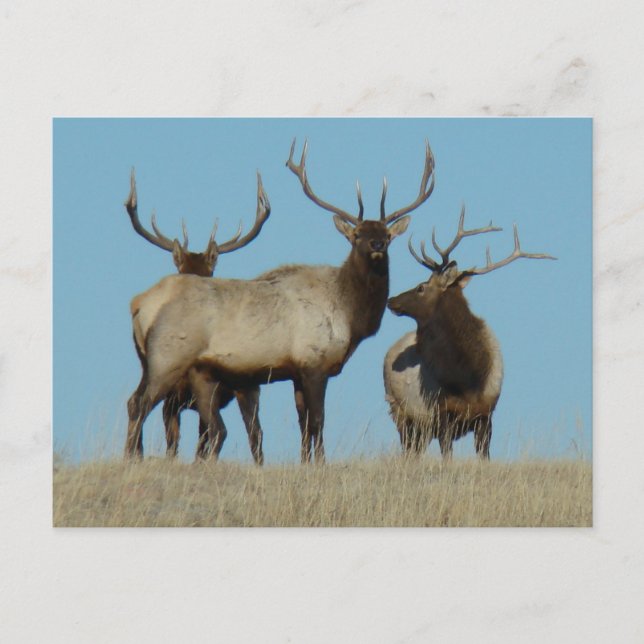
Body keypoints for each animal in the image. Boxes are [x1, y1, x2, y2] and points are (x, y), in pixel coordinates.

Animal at [383, 206, 555, 459]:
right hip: (400, 411)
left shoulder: (486, 413)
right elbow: (447, 457)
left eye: (421, 287)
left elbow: (484, 457)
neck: (468, 378)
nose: (391, 300)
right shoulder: (442, 412)